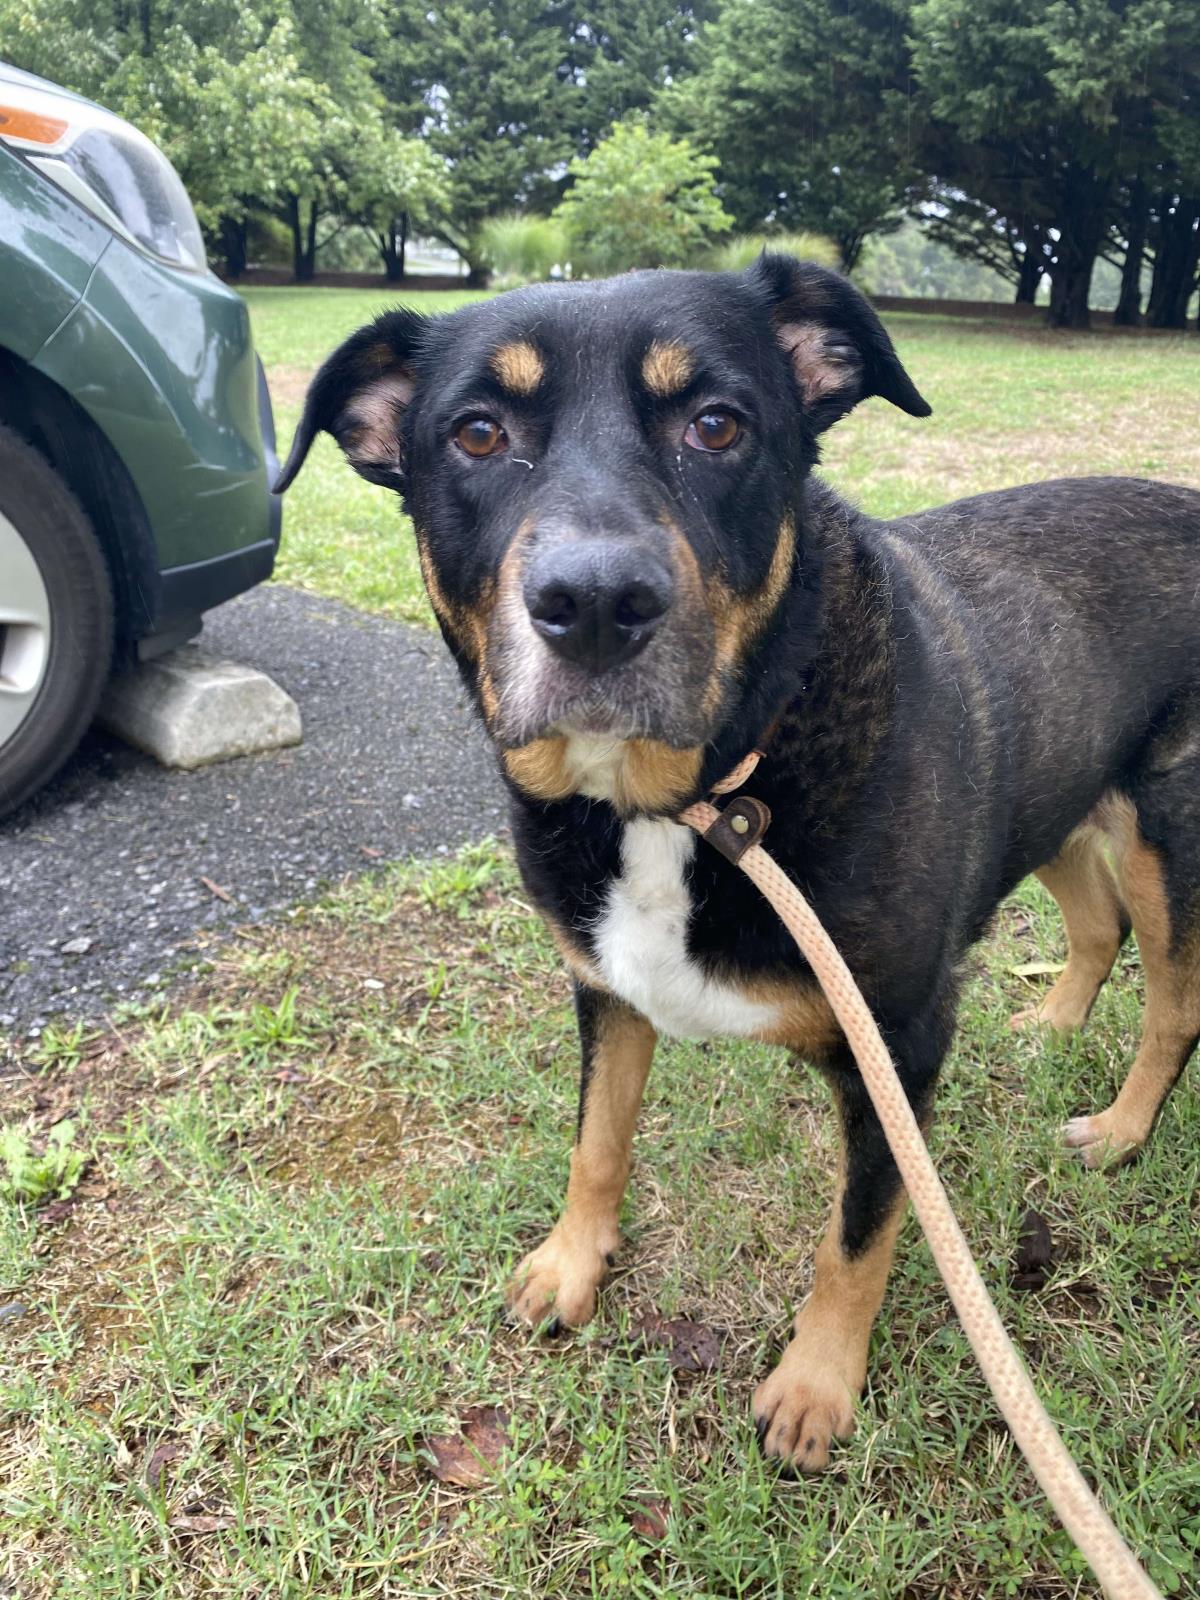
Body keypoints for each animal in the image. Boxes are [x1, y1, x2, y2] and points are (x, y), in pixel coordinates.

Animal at [280, 259, 1200, 1472]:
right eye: (477, 433)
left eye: (716, 424)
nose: (595, 605)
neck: (697, 799)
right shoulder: (606, 986)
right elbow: (597, 1139)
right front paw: (571, 1264)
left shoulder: (895, 1045)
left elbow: (858, 1235)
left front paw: (816, 1387)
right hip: (1056, 797)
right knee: (1095, 922)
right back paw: (1052, 1024)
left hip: (1165, 830)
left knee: (1173, 1005)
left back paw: (1125, 1130)